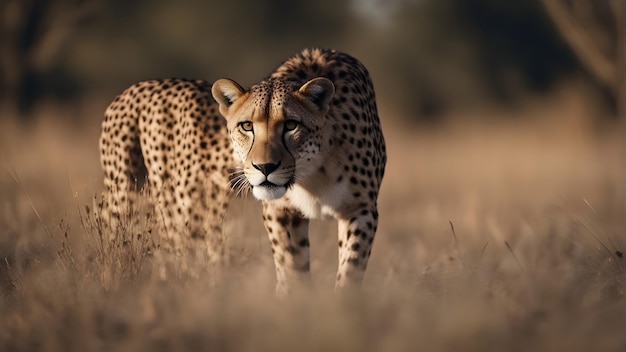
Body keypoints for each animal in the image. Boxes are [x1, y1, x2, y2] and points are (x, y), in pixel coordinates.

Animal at [100, 47, 386, 294]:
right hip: (176, 211)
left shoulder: (359, 209)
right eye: (247, 126)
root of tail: (137, 87)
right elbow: (290, 263)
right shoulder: (278, 210)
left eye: (291, 125)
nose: (265, 167)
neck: (311, 171)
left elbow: (351, 267)